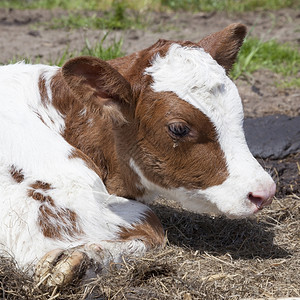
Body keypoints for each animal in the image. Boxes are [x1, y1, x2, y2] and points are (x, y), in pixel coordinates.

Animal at [0, 24, 276, 286]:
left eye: (238, 114)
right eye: (179, 128)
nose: (264, 192)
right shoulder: (40, 207)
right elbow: (152, 224)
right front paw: (79, 259)